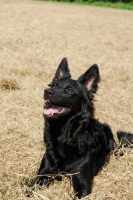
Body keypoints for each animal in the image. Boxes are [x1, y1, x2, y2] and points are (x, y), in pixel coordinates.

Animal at [28, 57, 133, 198]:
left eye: (69, 90)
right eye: (53, 85)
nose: (47, 92)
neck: (64, 134)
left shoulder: (82, 182)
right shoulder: (43, 175)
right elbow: (30, 189)